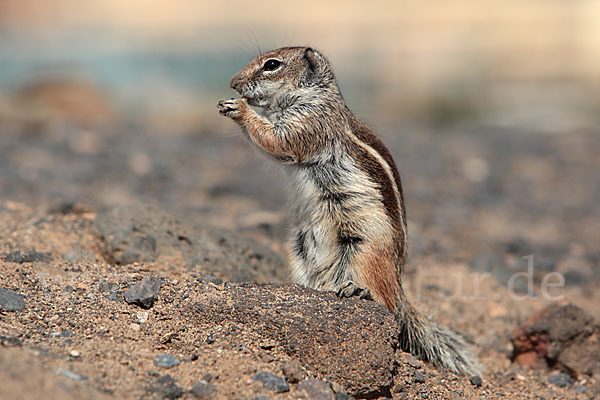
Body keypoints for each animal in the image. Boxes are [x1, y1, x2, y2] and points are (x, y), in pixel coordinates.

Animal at [218, 46, 480, 376]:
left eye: (272, 65)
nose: (232, 82)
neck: (315, 96)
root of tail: (400, 288)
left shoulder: (309, 124)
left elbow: (276, 140)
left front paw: (239, 109)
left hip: (364, 252)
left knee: (386, 304)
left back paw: (360, 292)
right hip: (300, 248)